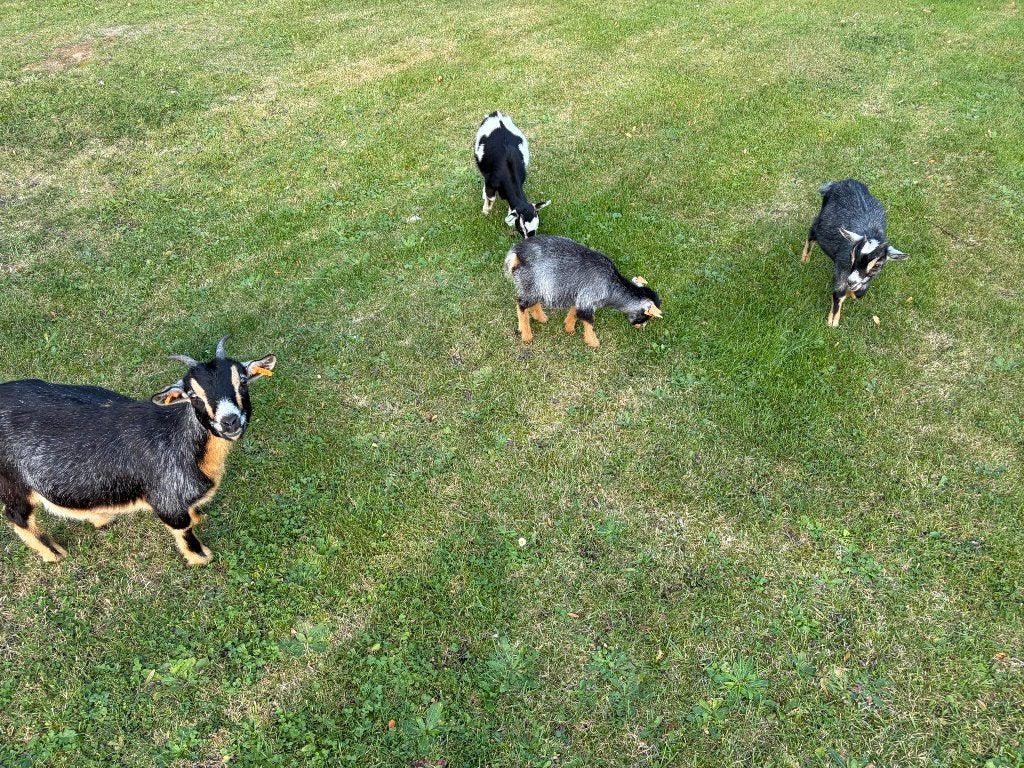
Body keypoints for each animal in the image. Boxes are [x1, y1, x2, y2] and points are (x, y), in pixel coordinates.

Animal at [0, 336, 276, 565]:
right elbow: (183, 528)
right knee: (17, 516)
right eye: (193, 396)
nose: (230, 421)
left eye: (242, 381)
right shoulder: (166, 496)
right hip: (12, 481)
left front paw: (199, 517)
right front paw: (200, 557)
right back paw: (54, 553)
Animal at [505, 235, 662, 348]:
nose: (640, 327)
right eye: (646, 317)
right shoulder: (589, 297)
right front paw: (593, 342)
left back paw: (541, 318)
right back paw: (526, 335)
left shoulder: (581, 296)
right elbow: (588, 321)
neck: (611, 285)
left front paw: (569, 328)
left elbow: (575, 312)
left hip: (534, 286)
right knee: (521, 304)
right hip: (533, 283)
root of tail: (516, 254)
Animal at [802, 178, 908, 327]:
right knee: (812, 233)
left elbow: (859, 293)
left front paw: (853, 293)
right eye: (852, 256)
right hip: (819, 223)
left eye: (877, 265)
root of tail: (845, 181)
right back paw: (805, 258)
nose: (851, 281)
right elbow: (839, 293)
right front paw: (833, 322)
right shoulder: (842, 266)